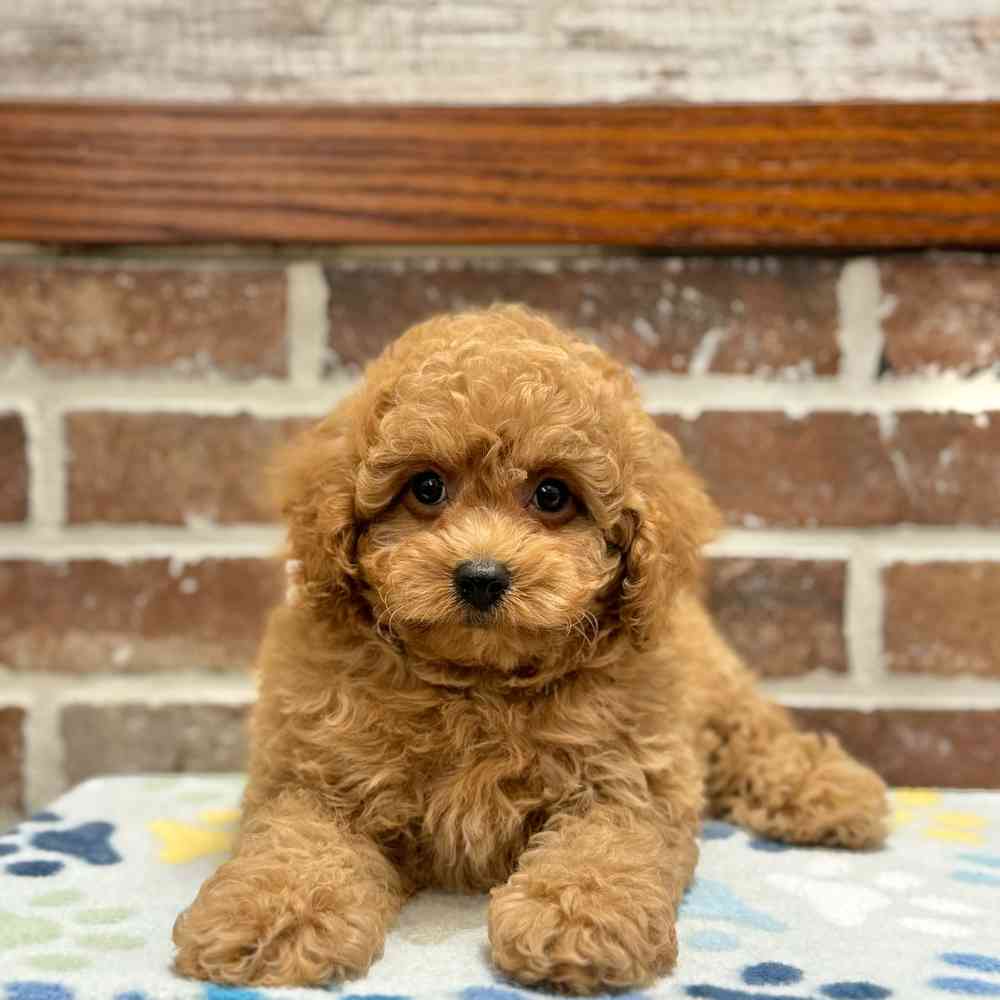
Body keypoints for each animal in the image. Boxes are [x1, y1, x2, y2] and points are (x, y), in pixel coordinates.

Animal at [174, 304, 892, 992]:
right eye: (426, 487)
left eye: (551, 494)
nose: (481, 576)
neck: (479, 682)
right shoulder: (317, 778)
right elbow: (297, 843)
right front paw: (266, 917)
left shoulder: (626, 782)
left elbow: (603, 850)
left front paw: (579, 921)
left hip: (714, 684)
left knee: (755, 733)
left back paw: (832, 792)